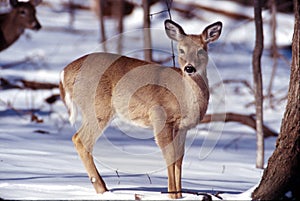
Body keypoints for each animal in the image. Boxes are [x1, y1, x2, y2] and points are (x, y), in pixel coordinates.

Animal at [59, 19, 223, 199]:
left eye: (201, 50)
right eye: (181, 50)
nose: (189, 68)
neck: (184, 96)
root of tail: (64, 72)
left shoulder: (182, 128)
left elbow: (179, 158)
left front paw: (180, 195)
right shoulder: (160, 118)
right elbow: (169, 156)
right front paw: (172, 194)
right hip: (97, 107)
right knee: (80, 139)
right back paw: (103, 189)